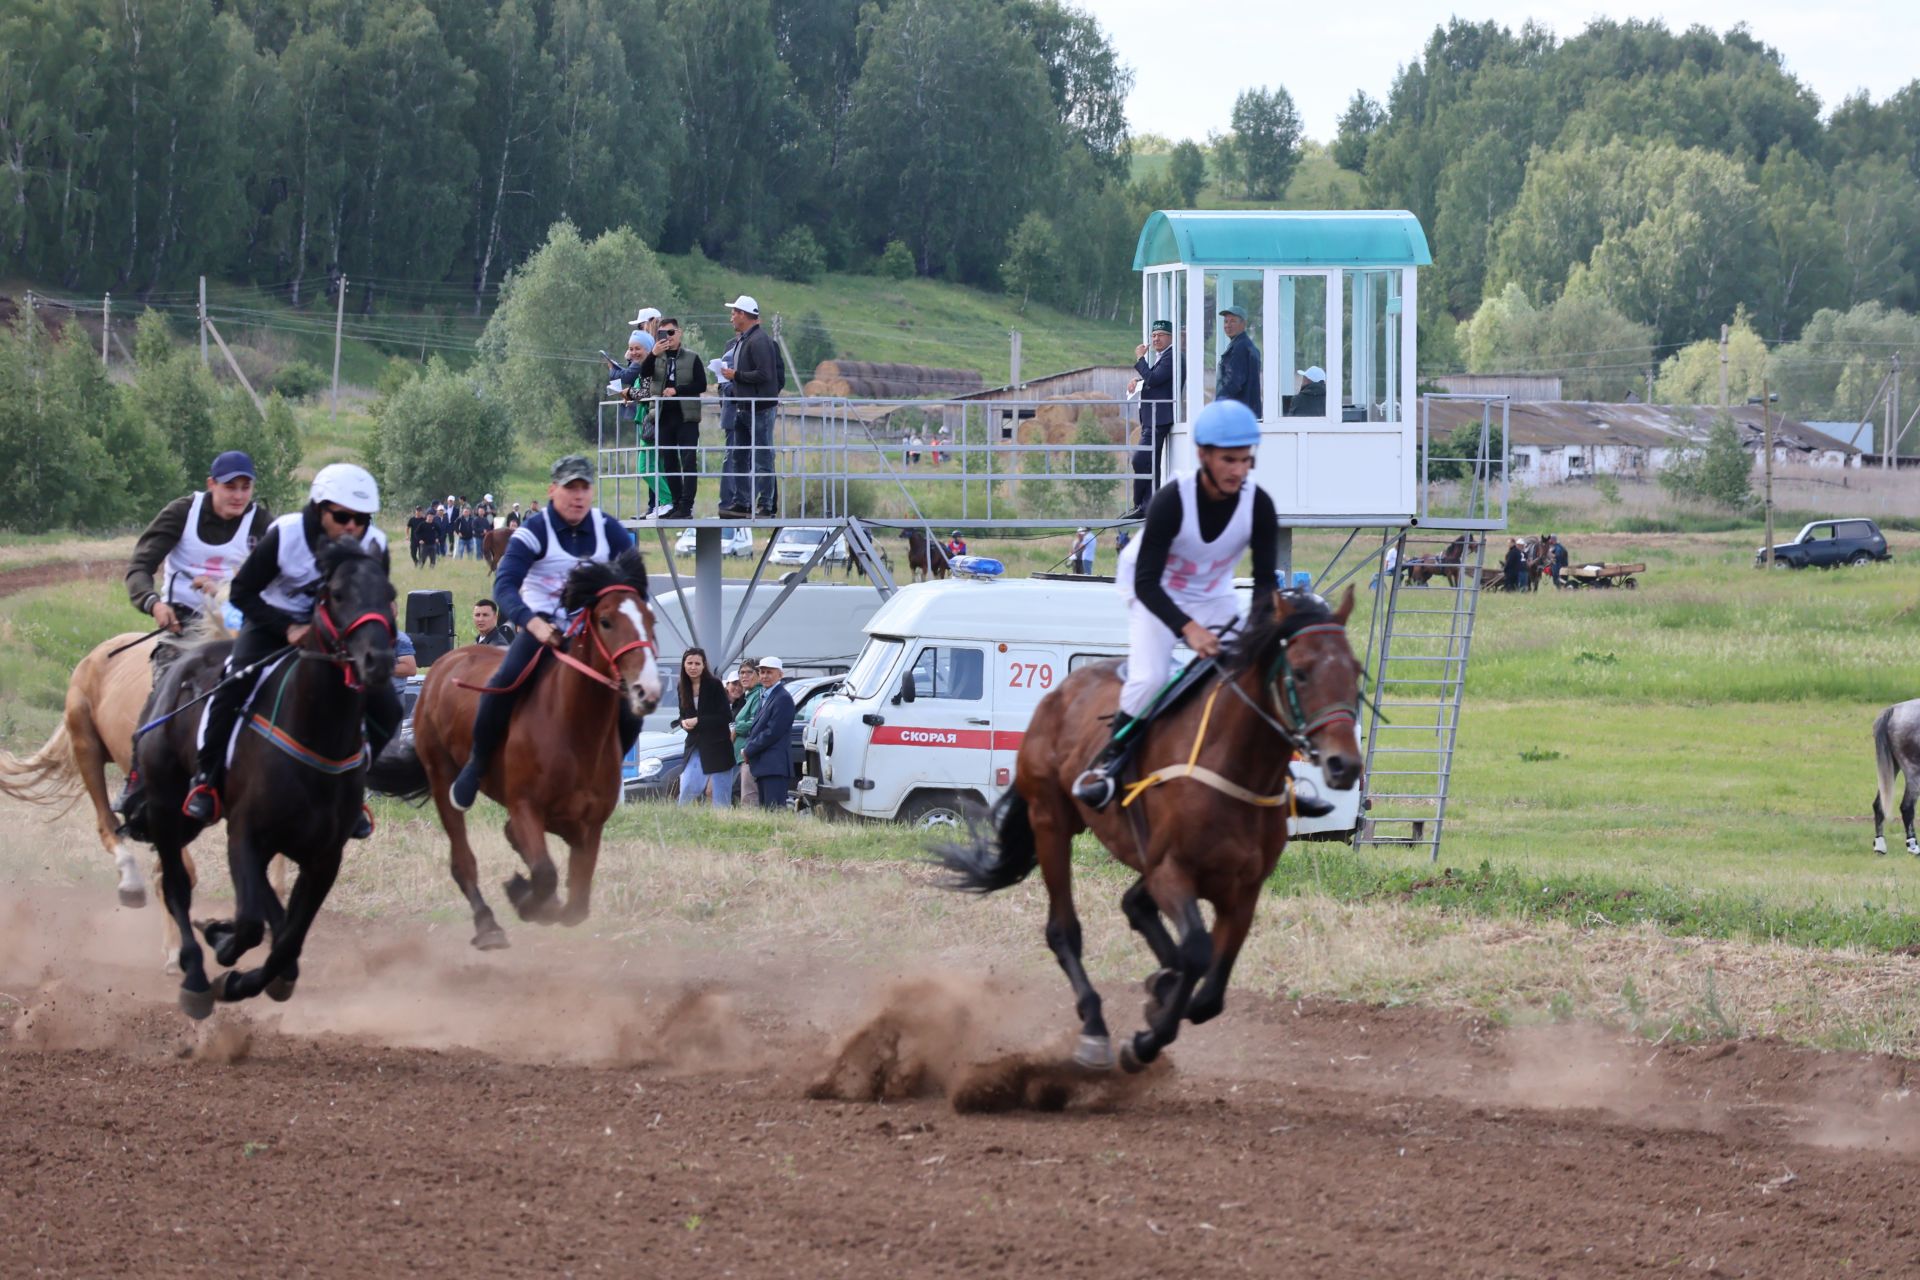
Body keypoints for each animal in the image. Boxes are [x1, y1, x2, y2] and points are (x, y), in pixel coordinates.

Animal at [137, 537, 395, 1013]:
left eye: (389, 594)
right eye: (335, 594)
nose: (379, 661)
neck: (317, 736)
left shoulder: (324, 856)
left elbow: (289, 939)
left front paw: (246, 977)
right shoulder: (245, 834)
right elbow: (252, 924)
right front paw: (224, 949)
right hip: (166, 807)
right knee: (176, 884)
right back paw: (195, 976)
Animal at [397, 545, 660, 948]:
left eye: (650, 619)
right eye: (606, 621)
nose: (646, 689)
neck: (575, 732)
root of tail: (445, 662)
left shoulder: (590, 826)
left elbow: (576, 903)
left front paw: (533, 896)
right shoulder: (526, 807)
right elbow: (546, 875)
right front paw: (522, 895)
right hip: (442, 776)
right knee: (463, 859)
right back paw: (488, 925)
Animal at [933, 587, 1367, 1074]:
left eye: (1356, 672)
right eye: (1302, 671)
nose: (1344, 765)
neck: (1236, 771)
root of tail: (1059, 692)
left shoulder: (1244, 888)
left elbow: (1211, 993)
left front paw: (1162, 1000)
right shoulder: (1171, 872)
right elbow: (1196, 950)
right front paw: (1145, 1040)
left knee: (1135, 905)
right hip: (1051, 822)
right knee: (1064, 929)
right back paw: (1096, 1026)